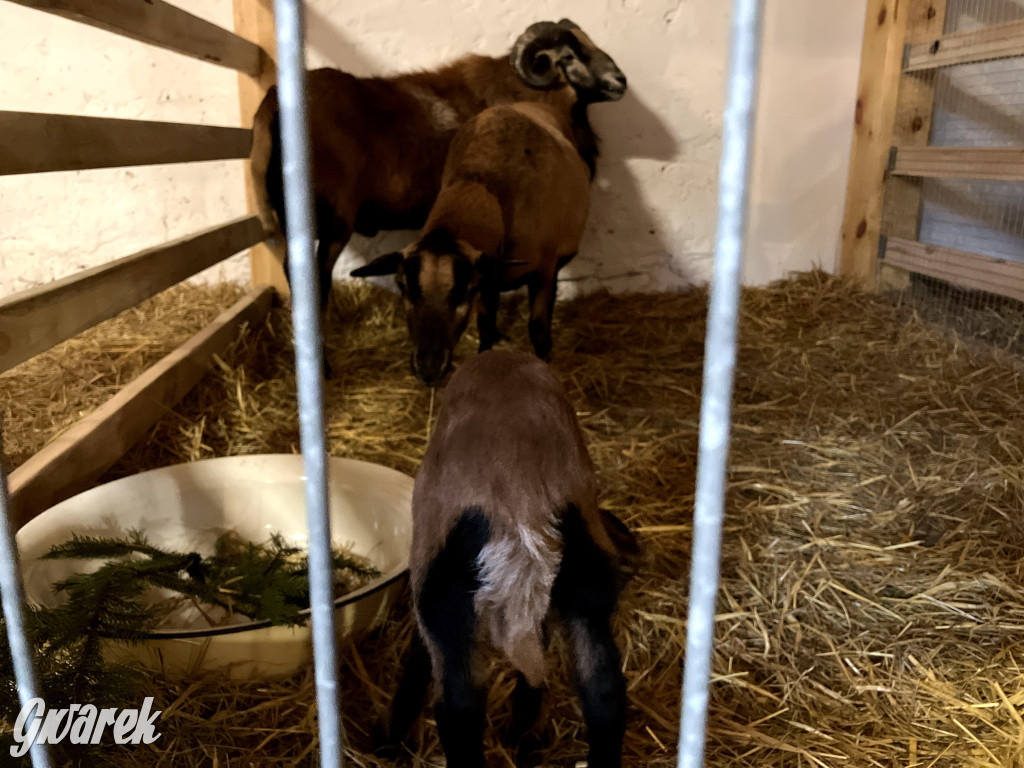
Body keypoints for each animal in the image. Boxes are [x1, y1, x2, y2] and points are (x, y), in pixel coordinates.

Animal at [352, 99, 593, 387]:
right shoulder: (489, 277)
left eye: (465, 289)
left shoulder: (543, 270)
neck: (480, 183)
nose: (428, 369)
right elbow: (486, 326)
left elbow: (538, 327)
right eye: (402, 285)